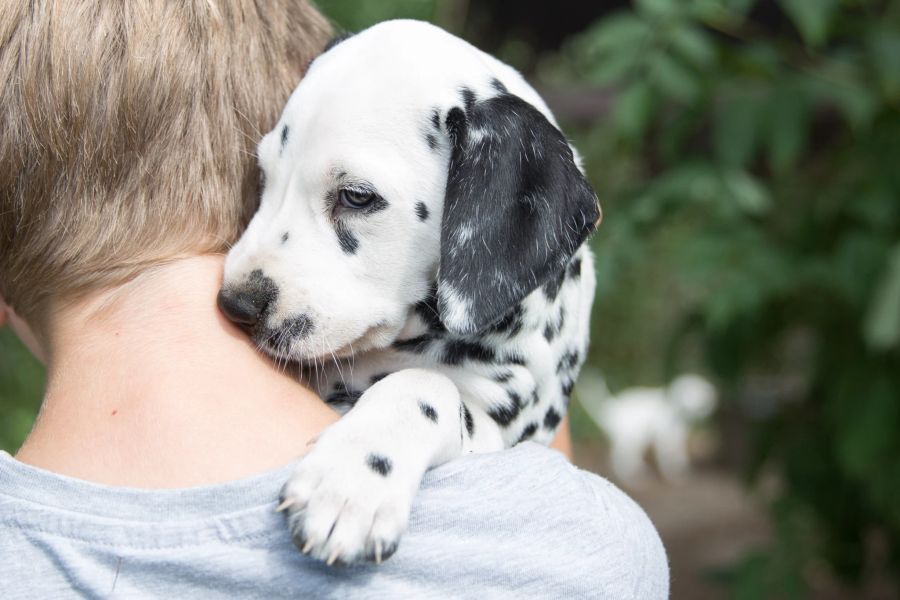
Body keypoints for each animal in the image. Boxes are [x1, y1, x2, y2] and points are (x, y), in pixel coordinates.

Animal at [216, 19, 596, 568]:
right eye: (265, 177)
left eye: (356, 196)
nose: (236, 304)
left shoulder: (497, 429)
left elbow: (425, 388)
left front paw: (351, 481)